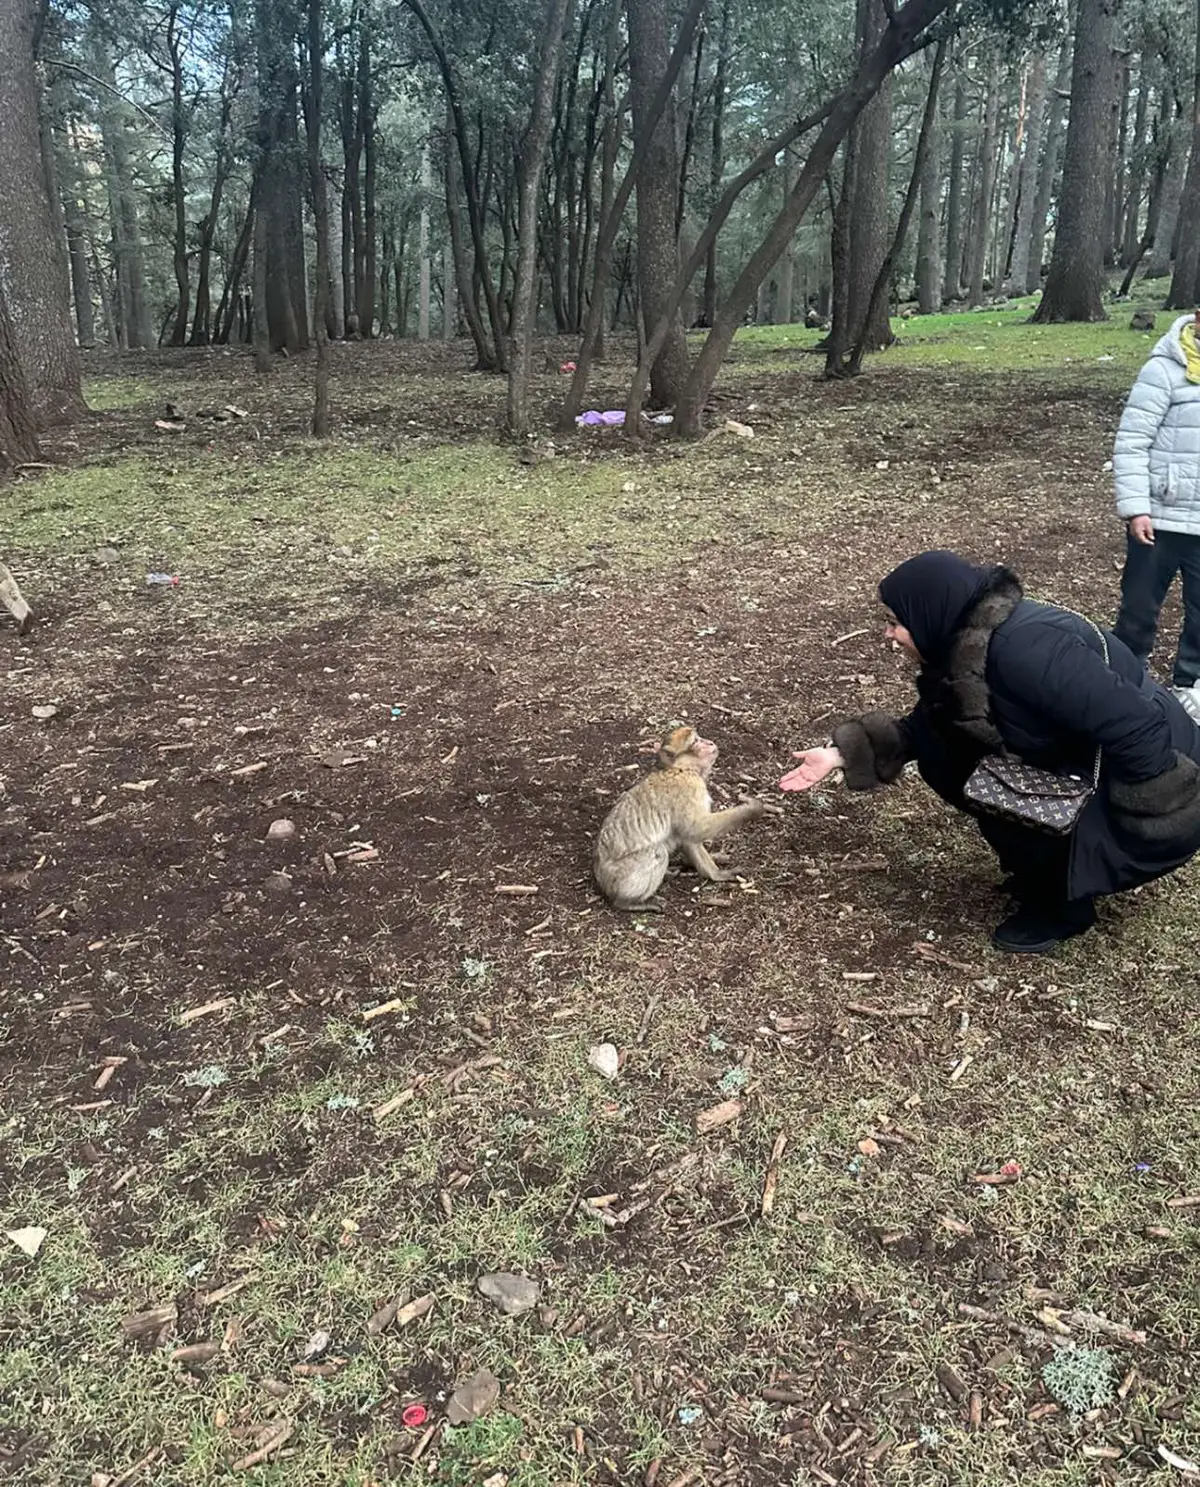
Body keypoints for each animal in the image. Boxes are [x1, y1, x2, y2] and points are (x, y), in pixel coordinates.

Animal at [591, 725, 779, 910]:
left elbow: (688, 838)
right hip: (619, 878)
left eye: (700, 737)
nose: (709, 742)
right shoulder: (689, 787)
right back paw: (628, 903)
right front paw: (751, 809)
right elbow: (694, 829)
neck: (681, 768)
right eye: (695, 741)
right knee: (658, 852)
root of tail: (598, 875)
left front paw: (715, 873)